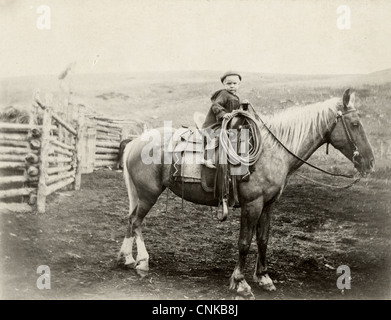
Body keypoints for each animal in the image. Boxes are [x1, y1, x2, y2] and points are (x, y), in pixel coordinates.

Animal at [117, 88, 376, 298]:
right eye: (355, 124)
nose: (371, 162)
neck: (273, 150)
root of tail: (135, 142)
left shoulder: (269, 204)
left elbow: (263, 240)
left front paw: (264, 278)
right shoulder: (252, 204)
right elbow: (244, 242)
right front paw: (240, 283)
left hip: (141, 195)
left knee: (130, 220)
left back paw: (127, 258)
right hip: (148, 195)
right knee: (137, 221)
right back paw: (142, 262)